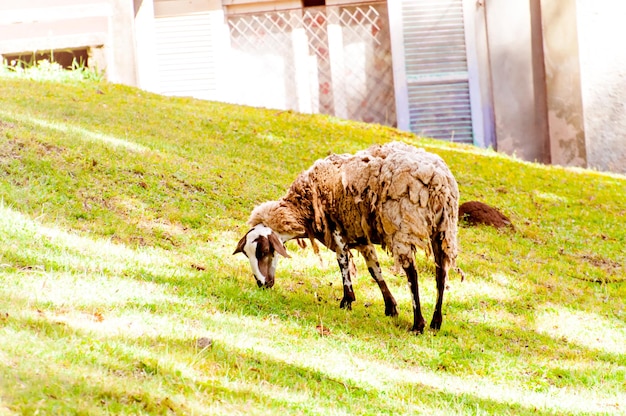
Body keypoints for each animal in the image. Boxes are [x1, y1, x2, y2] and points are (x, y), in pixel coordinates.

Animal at [234, 141, 458, 334]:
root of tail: (439, 182)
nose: (262, 285)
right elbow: (375, 271)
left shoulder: (336, 229)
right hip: (443, 229)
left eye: (264, 251)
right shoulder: (362, 238)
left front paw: (347, 300)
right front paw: (391, 307)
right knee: (441, 274)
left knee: (412, 275)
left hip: (404, 227)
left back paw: (418, 324)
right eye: (246, 255)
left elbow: (342, 263)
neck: (303, 209)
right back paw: (435, 322)